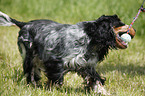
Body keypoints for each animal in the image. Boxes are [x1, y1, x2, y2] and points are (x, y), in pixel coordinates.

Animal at [0, 11, 136, 95]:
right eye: (120, 23)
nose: (133, 30)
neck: (90, 37)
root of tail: (24, 24)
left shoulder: (86, 66)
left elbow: (96, 80)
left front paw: (104, 92)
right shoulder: (55, 61)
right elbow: (57, 80)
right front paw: (49, 90)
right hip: (29, 55)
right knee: (31, 72)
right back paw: (32, 85)